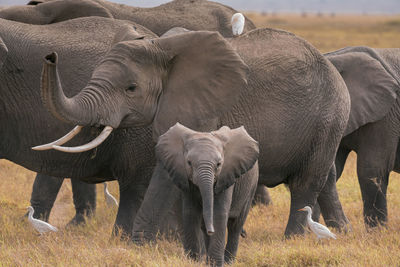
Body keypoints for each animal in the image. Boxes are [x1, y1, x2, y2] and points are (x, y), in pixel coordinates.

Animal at [35, 26, 350, 239]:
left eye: (131, 88)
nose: (50, 56)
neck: (161, 47)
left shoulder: (205, 112)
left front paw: (138, 242)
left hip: (329, 119)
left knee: (306, 183)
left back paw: (291, 238)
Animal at [156, 123, 260, 266]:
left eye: (219, 164)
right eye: (189, 163)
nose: (212, 230)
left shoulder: (226, 176)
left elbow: (219, 213)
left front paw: (215, 264)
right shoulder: (185, 178)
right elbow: (190, 213)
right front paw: (193, 262)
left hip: (251, 185)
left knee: (235, 225)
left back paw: (228, 262)